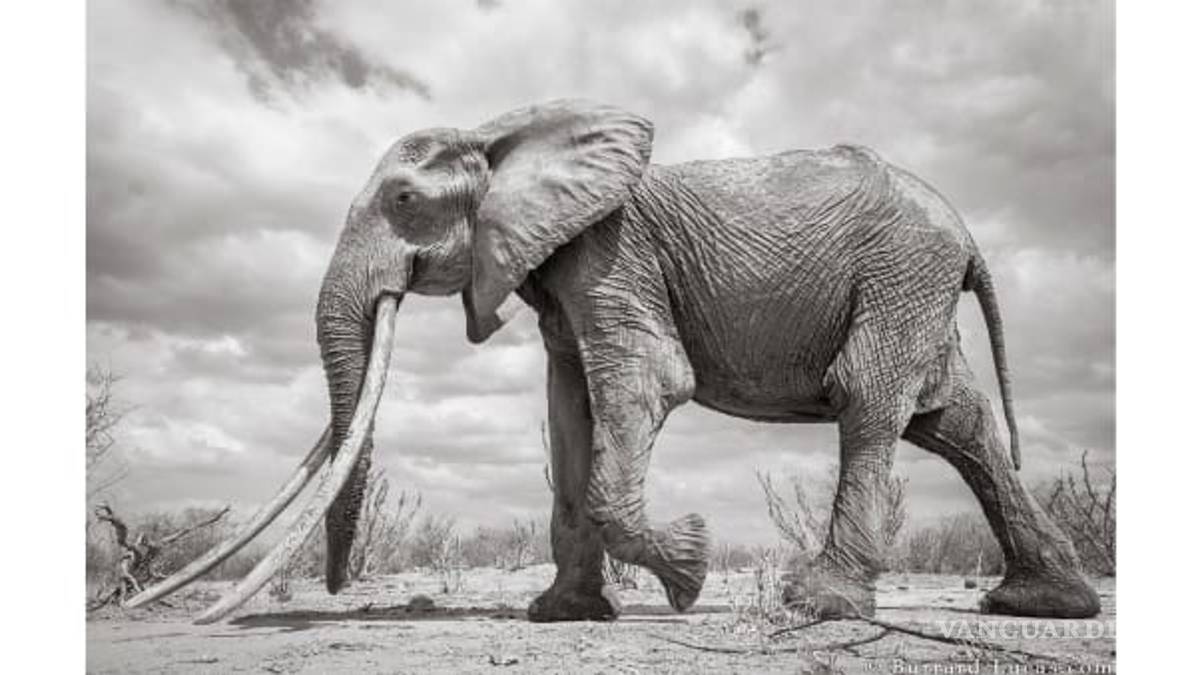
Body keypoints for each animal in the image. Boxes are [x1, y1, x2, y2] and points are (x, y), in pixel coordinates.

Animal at [128, 99, 1101, 623]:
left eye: (402, 200)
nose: (333, 589)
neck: (503, 134)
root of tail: (969, 233)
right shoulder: (563, 280)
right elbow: (570, 411)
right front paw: (563, 613)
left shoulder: (612, 254)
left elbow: (643, 385)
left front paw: (689, 573)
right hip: (914, 286)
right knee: (956, 423)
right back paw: (1041, 603)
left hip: (902, 274)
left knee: (870, 402)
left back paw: (815, 604)